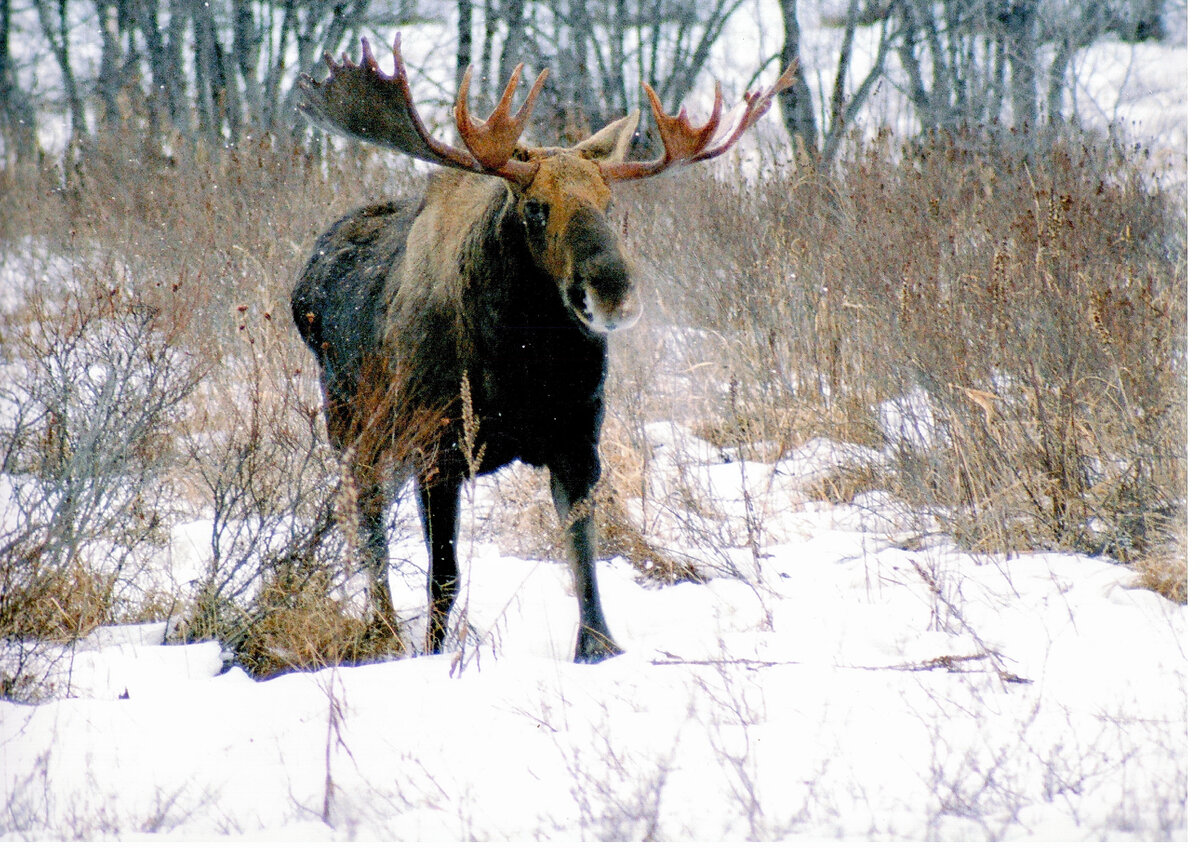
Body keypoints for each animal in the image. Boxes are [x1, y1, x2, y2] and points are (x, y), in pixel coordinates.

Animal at [290, 34, 796, 662]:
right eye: (534, 208)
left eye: (611, 203)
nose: (612, 292)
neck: (525, 366)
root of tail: (305, 279)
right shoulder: (438, 449)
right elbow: (444, 576)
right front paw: (432, 652)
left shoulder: (578, 439)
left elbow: (584, 558)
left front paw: (598, 646)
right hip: (352, 423)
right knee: (368, 521)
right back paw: (381, 626)